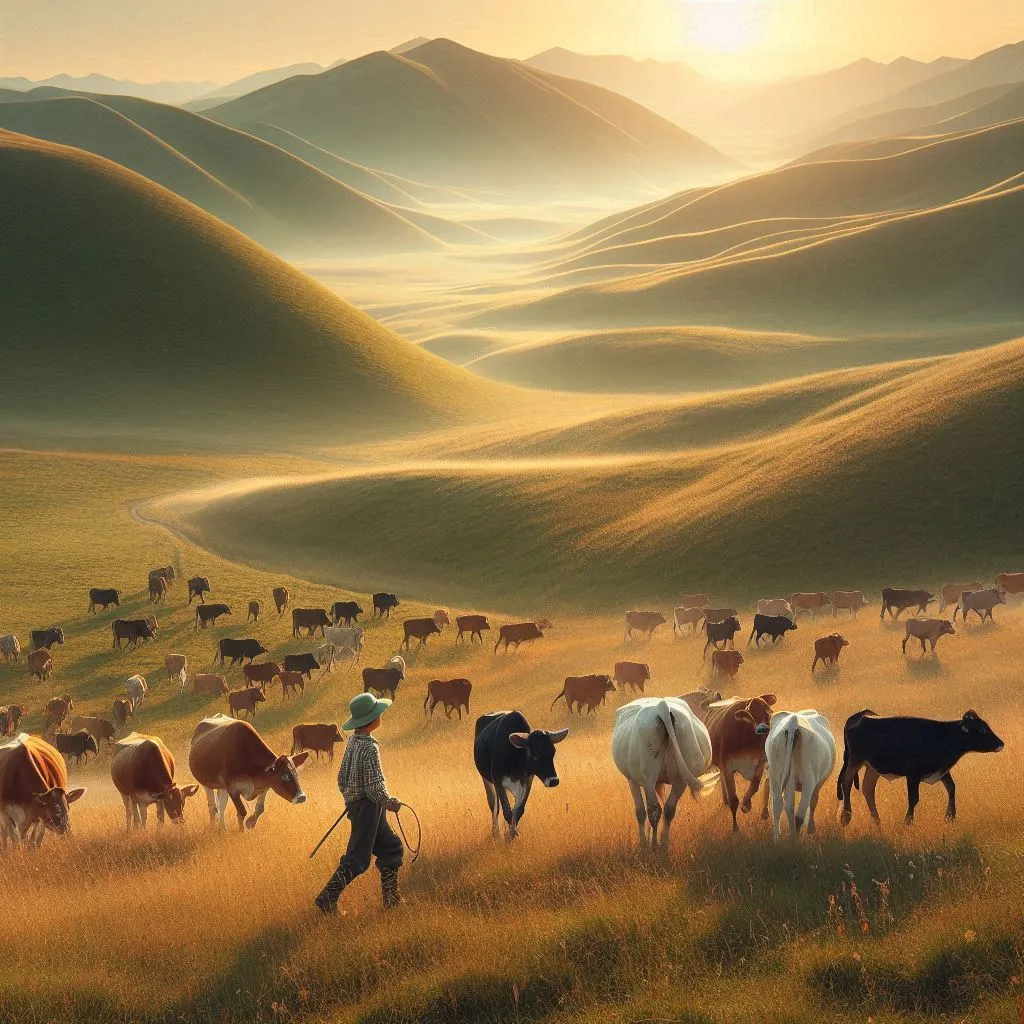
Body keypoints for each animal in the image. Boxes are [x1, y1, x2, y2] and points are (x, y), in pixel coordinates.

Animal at [610, 696, 716, 847]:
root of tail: (662, 706)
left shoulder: (632, 781)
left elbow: (640, 812)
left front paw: (644, 843)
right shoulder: (665, 782)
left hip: (648, 779)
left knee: (653, 810)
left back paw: (654, 845)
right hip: (680, 781)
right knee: (668, 810)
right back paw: (663, 844)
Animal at [696, 696, 774, 831]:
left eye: (768, 712)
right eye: (751, 714)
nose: (763, 729)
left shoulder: (760, 763)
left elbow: (755, 786)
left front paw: (746, 804)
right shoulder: (728, 768)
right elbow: (734, 800)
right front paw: (735, 828)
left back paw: (764, 812)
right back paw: (725, 802)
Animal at [835, 708, 1003, 827]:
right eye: (981, 730)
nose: (1001, 743)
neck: (943, 736)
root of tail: (860, 715)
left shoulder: (942, 771)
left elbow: (951, 788)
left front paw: (950, 817)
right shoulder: (913, 774)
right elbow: (914, 798)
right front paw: (908, 821)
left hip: (872, 768)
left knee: (868, 790)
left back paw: (877, 821)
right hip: (855, 760)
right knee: (846, 783)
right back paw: (846, 816)